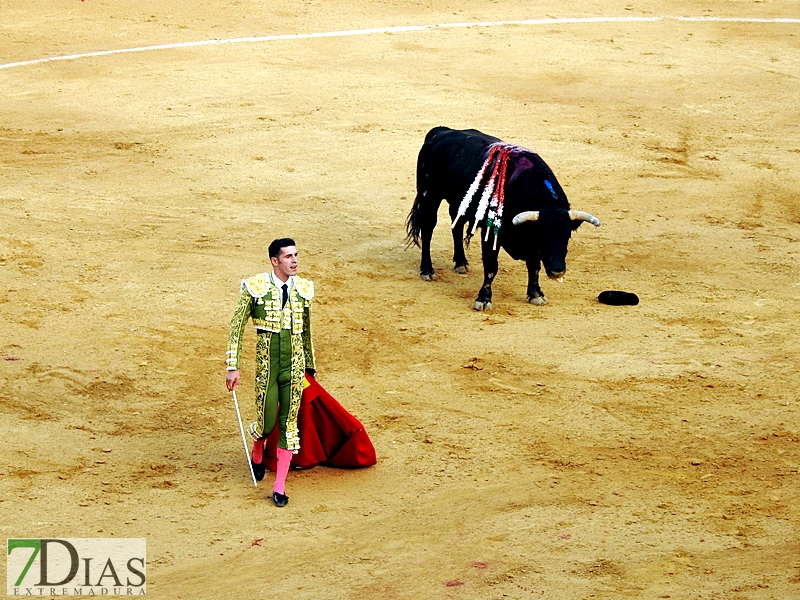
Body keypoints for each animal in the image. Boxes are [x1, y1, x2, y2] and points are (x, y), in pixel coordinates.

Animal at [406, 129, 600, 312]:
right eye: (542, 237)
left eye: (567, 236)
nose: (557, 271)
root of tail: (440, 132)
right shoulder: (492, 233)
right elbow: (492, 266)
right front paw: (483, 299)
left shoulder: (530, 243)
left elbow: (534, 266)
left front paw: (536, 294)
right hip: (429, 195)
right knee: (428, 228)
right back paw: (427, 270)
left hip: (459, 202)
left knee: (457, 225)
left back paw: (461, 263)